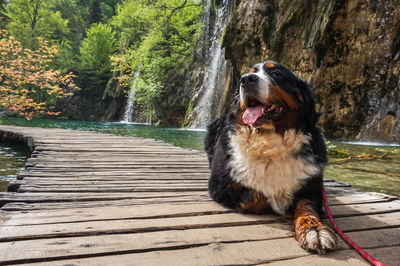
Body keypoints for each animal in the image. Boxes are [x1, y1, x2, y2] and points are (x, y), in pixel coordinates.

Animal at [203, 60, 338, 254]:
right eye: (248, 73)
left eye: (275, 74)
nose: (246, 79)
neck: (271, 143)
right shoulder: (220, 186)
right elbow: (257, 196)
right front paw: (282, 204)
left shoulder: (311, 187)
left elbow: (306, 207)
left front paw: (315, 229)